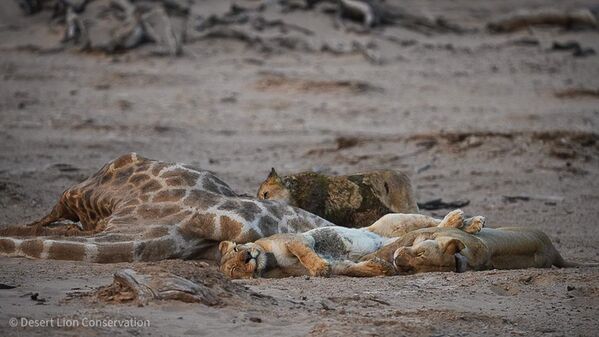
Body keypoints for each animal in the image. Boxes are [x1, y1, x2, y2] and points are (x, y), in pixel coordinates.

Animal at [218, 209, 486, 276]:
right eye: (234, 269)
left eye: (237, 248)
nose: (247, 257)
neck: (271, 262)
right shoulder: (342, 266)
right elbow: (355, 269)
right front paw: (380, 268)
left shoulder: (296, 238)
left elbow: (306, 253)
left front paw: (319, 268)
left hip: (395, 219)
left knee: (435, 222)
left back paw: (466, 220)